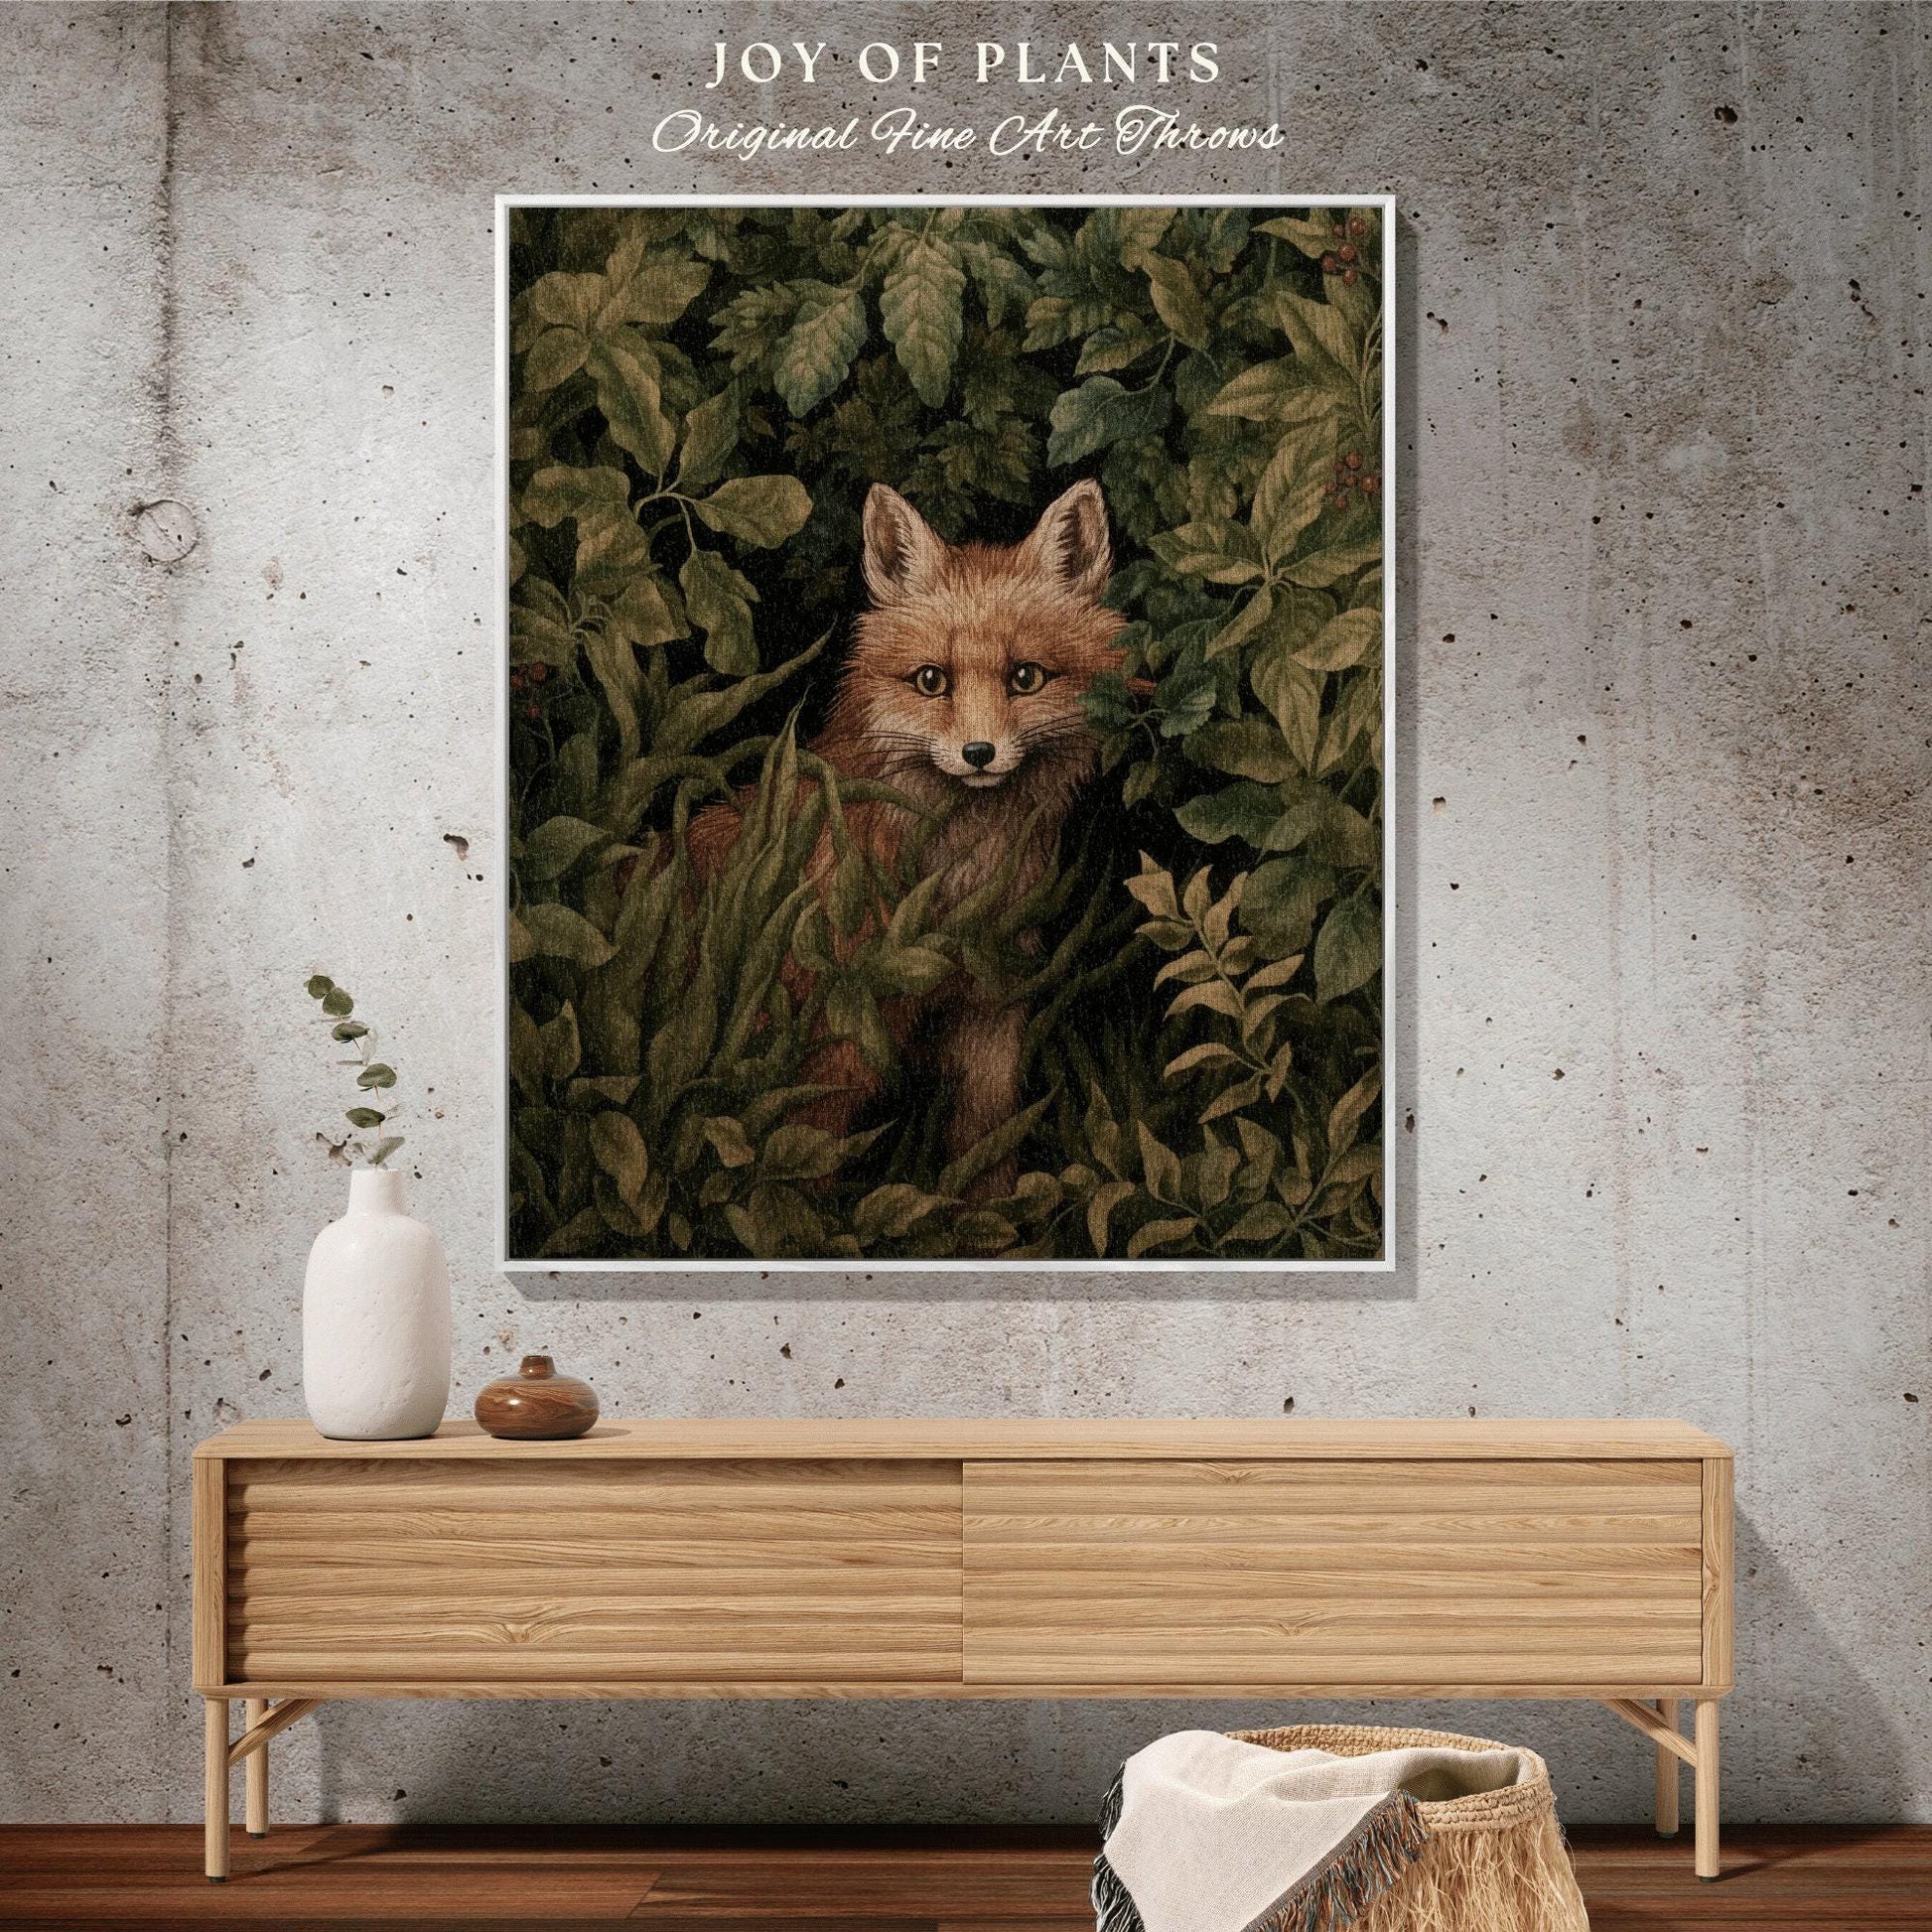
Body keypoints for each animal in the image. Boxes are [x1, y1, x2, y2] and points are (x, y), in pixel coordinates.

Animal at [685, 478, 1127, 1185]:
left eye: (1025, 677)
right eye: (931, 680)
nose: (979, 753)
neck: (951, 899)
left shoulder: (990, 1014)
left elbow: (983, 1152)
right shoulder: (838, 1029)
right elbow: (800, 1166)